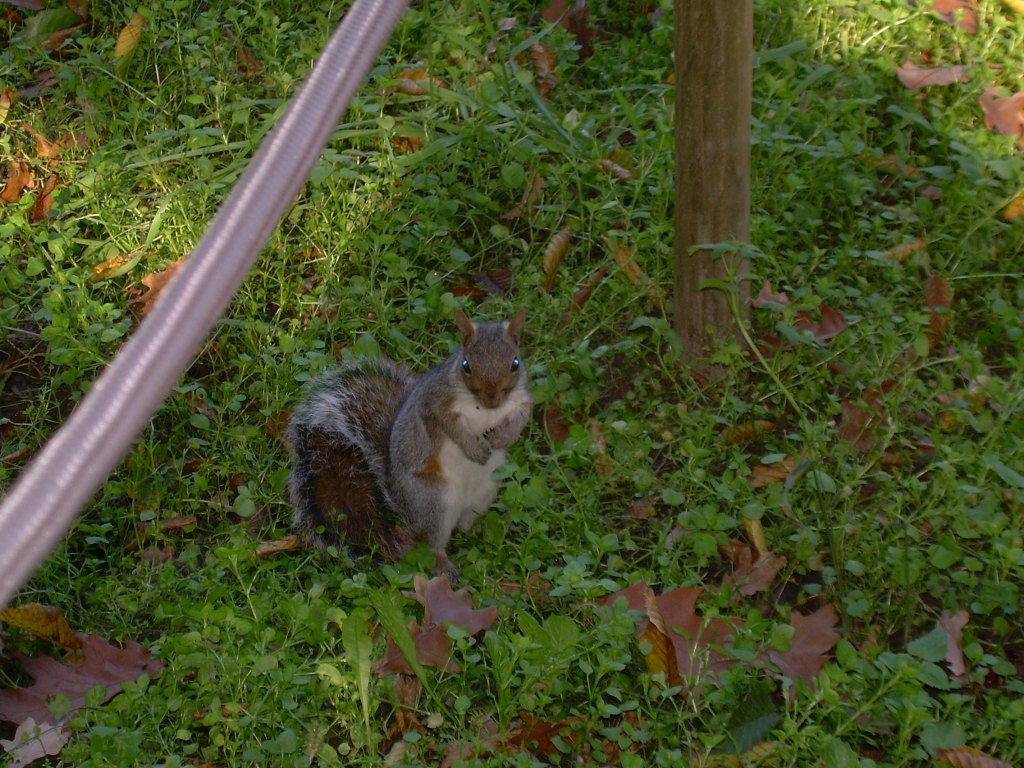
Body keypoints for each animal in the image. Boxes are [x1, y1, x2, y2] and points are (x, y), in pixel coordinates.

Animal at [286, 309, 532, 577]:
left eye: (515, 363)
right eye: (466, 365)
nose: (492, 400)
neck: (484, 409)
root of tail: (400, 507)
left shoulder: (522, 401)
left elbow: (522, 419)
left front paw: (504, 437)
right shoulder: (434, 401)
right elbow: (449, 426)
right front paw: (472, 447)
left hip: (486, 490)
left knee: (467, 523)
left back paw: (486, 528)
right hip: (434, 500)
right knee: (428, 543)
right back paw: (443, 564)